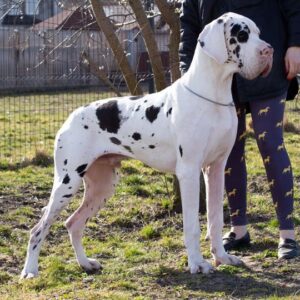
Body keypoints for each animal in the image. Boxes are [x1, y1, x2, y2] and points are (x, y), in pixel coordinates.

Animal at [21, 12, 274, 278]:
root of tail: (71, 116)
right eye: (242, 35)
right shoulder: (189, 172)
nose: (269, 51)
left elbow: (215, 220)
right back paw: (30, 271)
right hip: (67, 182)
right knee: (38, 228)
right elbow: (192, 225)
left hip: (103, 186)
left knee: (73, 224)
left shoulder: (216, 169)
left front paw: (222, 257)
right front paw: (197, 263)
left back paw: (85, 263)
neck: (213, 94)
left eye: (258, 33)